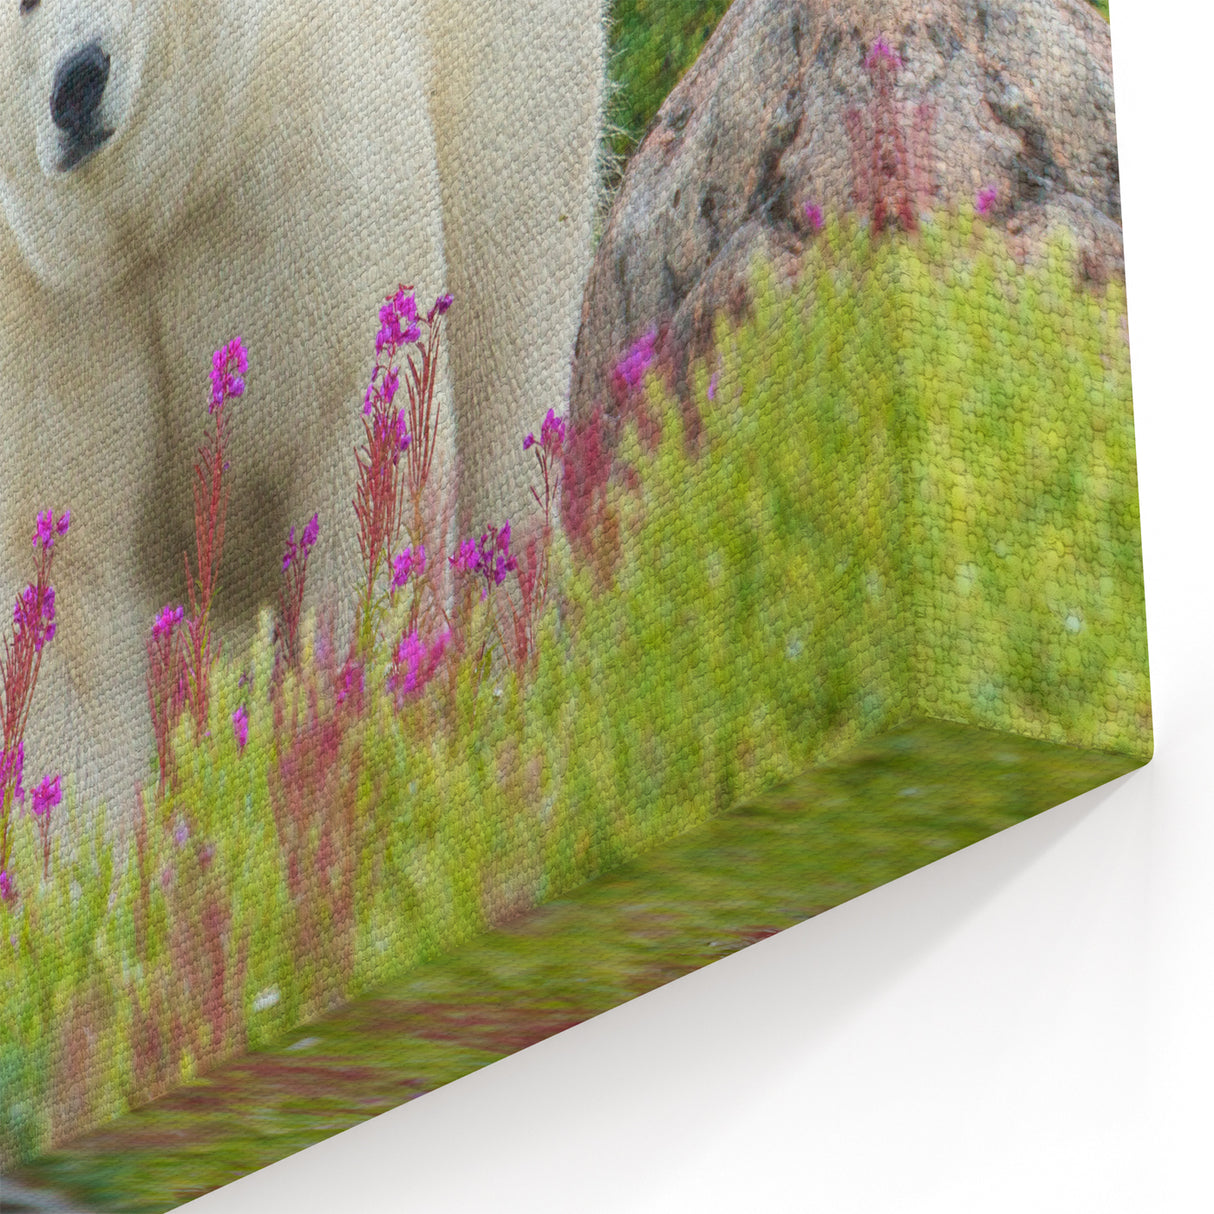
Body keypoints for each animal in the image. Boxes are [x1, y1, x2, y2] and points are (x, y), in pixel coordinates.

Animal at [0, 0, 606, 824]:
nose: (79, 84)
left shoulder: (302, 173)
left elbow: (354, 451)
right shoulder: (50, 306)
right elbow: (67, 578)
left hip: (519, 89)